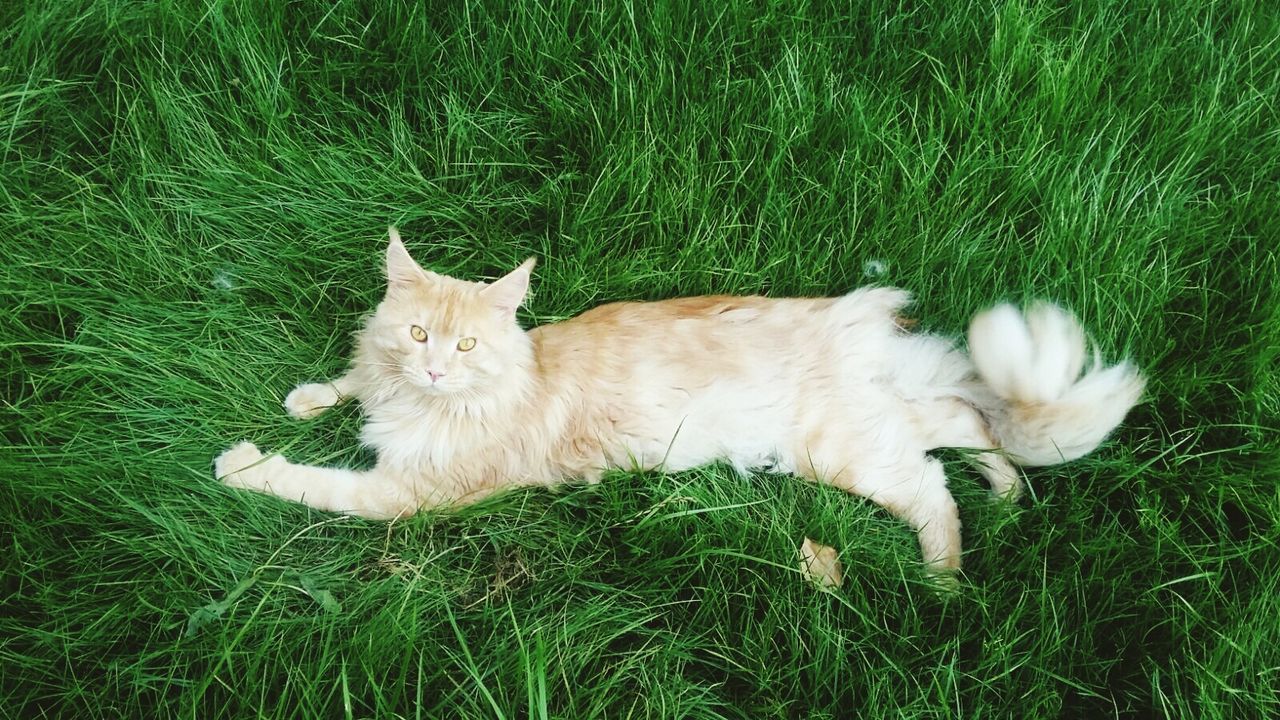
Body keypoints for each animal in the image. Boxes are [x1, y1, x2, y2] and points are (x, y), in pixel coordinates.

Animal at [215, 228, 1146, 576]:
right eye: (417, 336)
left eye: (467, 348)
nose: (438, 372)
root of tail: (857, 323)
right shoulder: (380, 389)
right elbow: (347, 383)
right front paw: (307, 399)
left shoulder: (407, 495)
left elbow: (315, 484)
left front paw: (242, 464)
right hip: (885, 424)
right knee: (967, 424)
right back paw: (1008, 494)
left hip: (849, 453)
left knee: (933, 491)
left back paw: (944, 583)